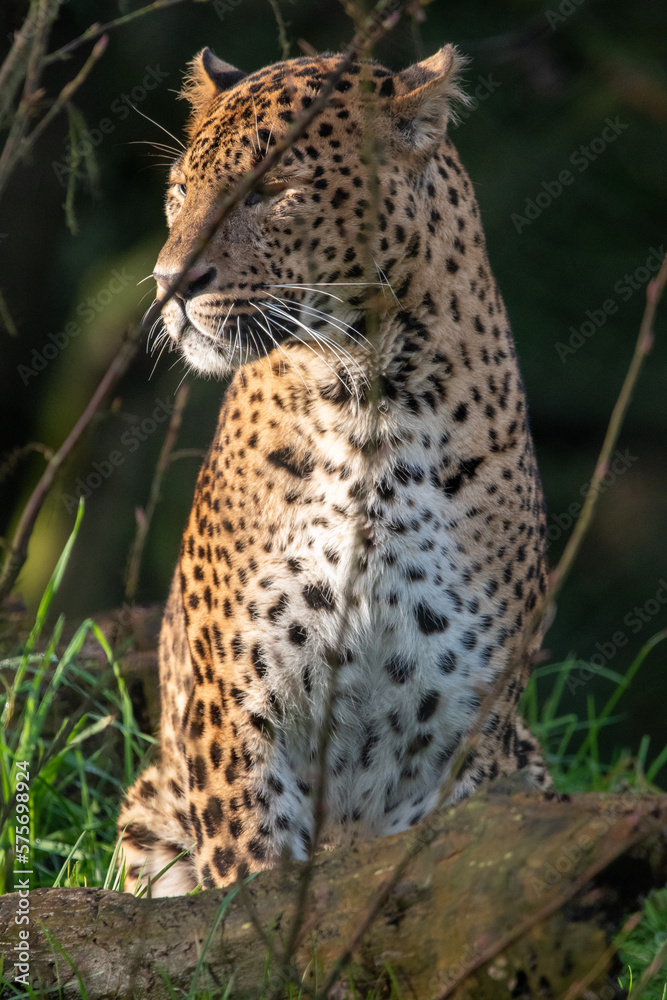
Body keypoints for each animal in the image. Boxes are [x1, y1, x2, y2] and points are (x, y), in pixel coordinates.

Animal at [117, 43, 551, 897]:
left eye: (275, 191)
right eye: (179, 192)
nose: (169, 283)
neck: (370, 407)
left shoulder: (467, 733)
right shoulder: (238, 714)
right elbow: (250, 887)